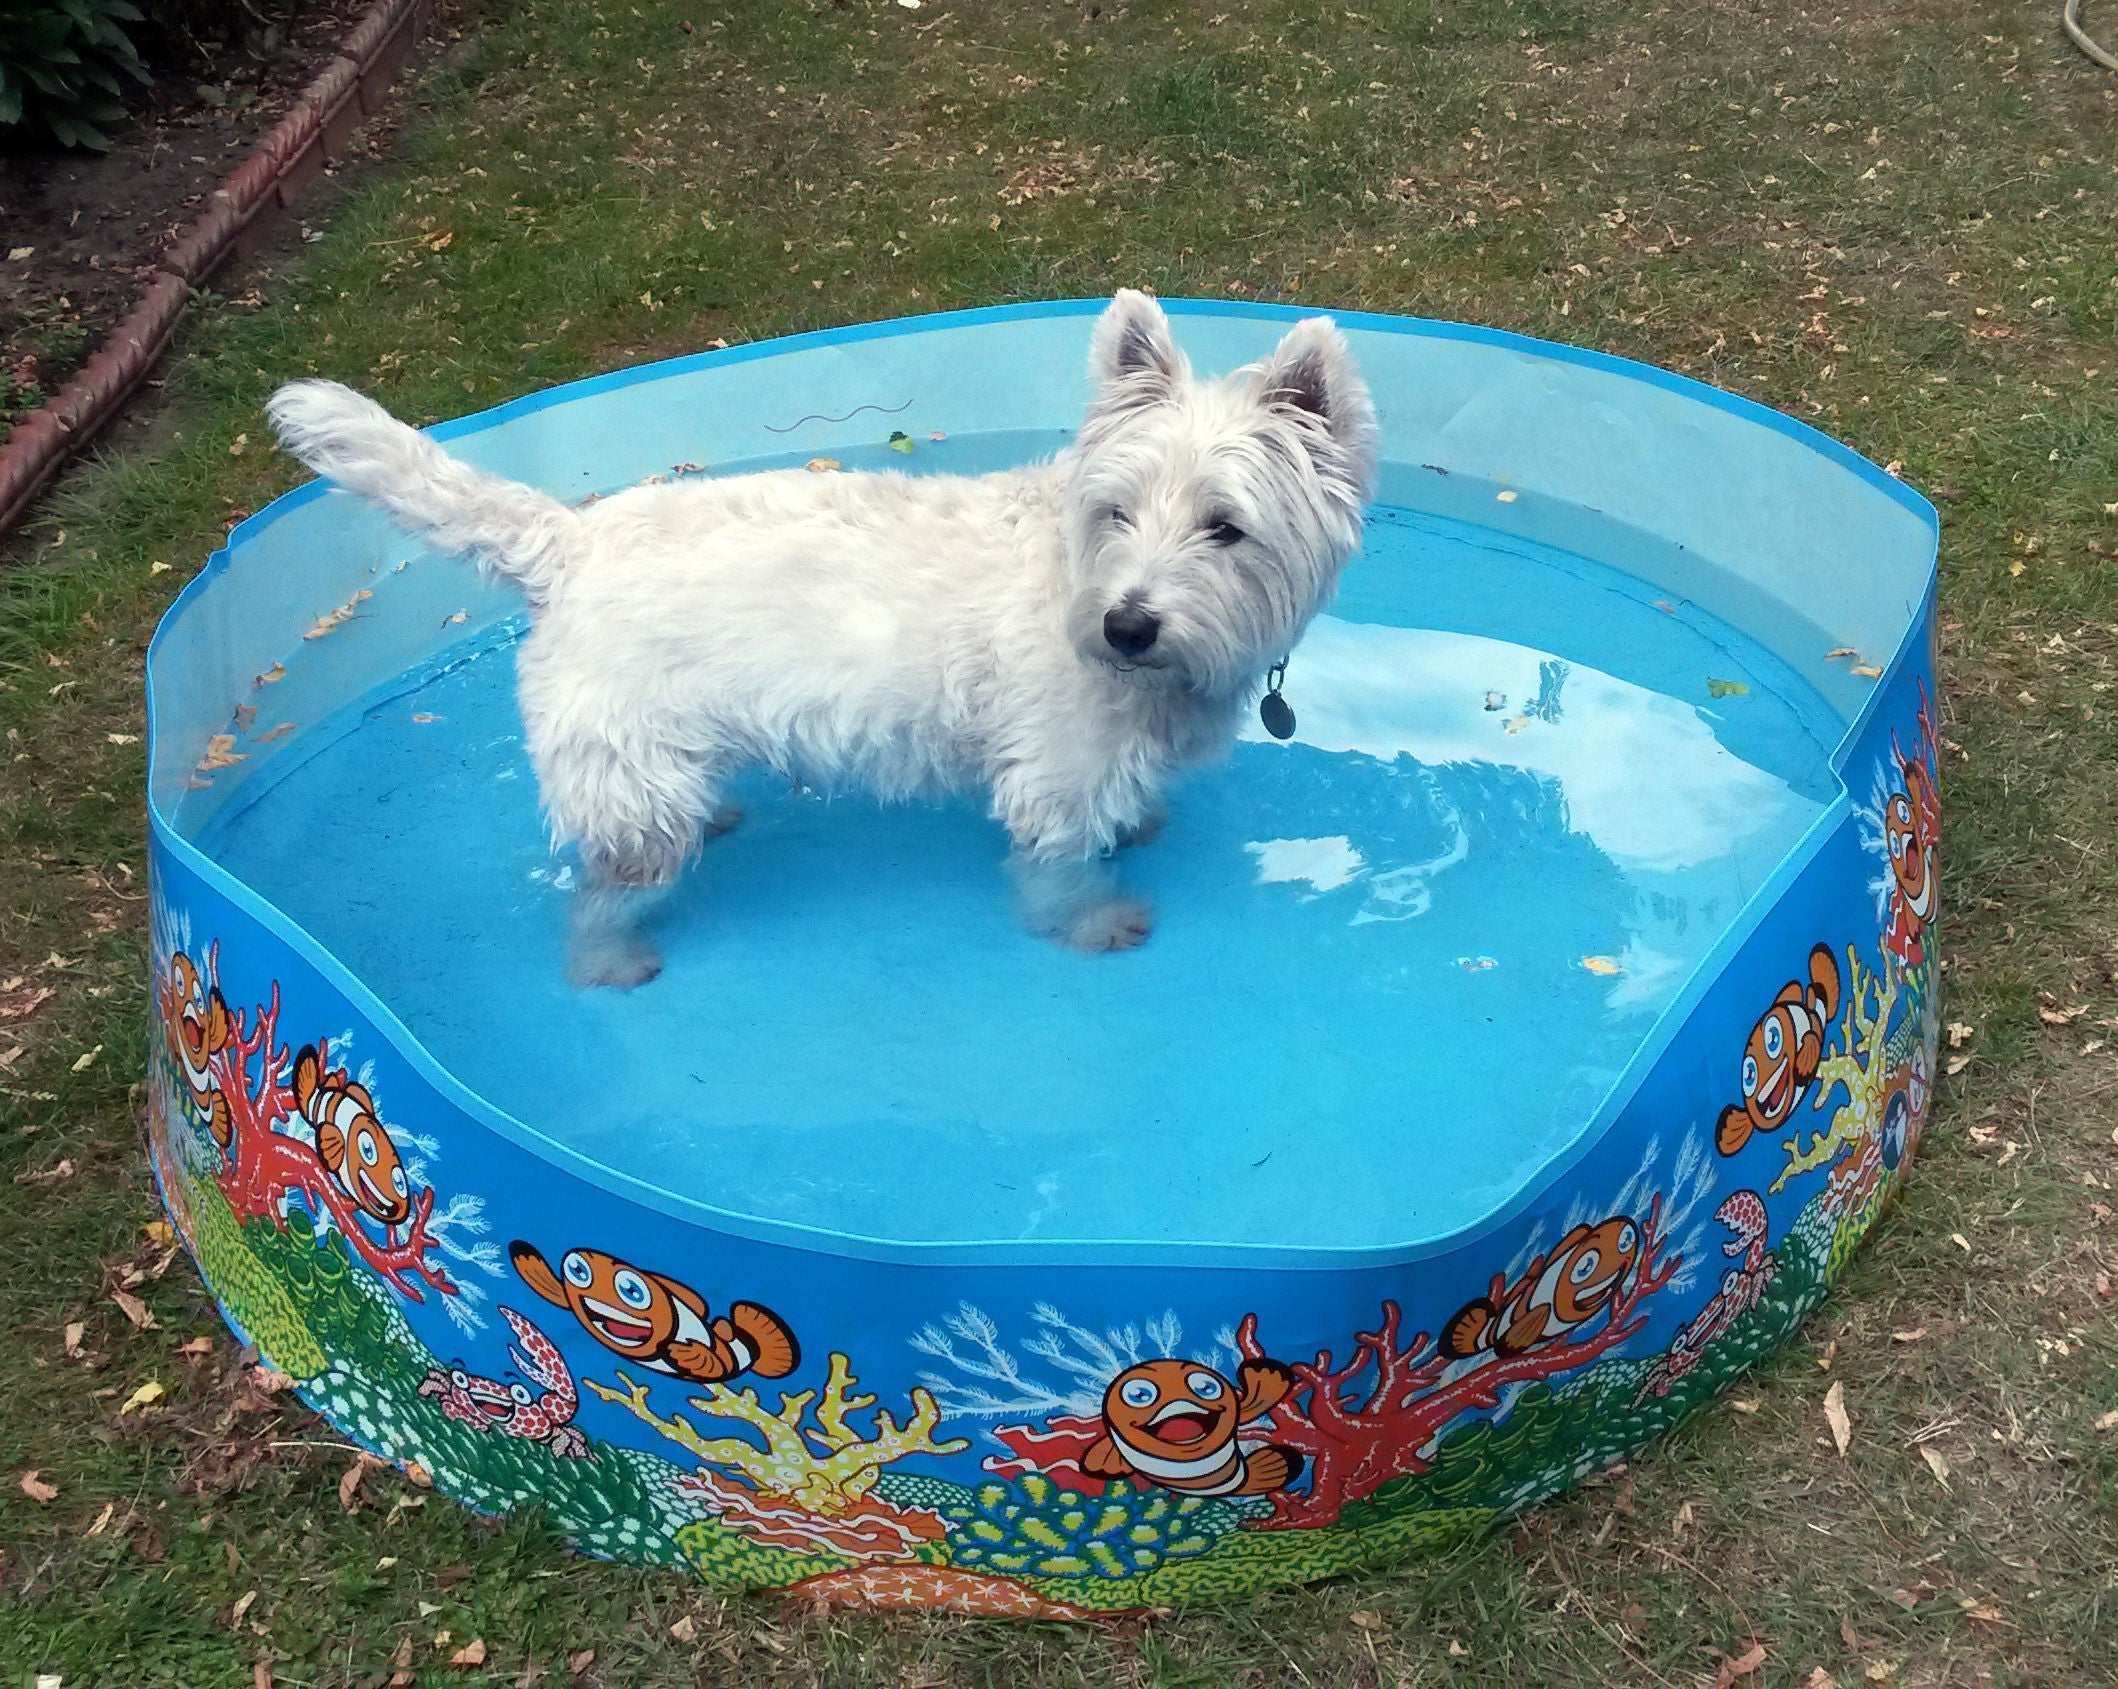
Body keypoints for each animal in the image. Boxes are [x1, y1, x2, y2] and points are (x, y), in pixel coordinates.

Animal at [264, 286, 1372, 974]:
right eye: (1117, 511)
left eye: (1225, 528)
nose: (1127, 626)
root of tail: (565, 542)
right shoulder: (1052, 782)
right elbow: (1059, 875)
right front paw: (1096, 924)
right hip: (631, 786)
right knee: (601, 892)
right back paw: (613, 963)